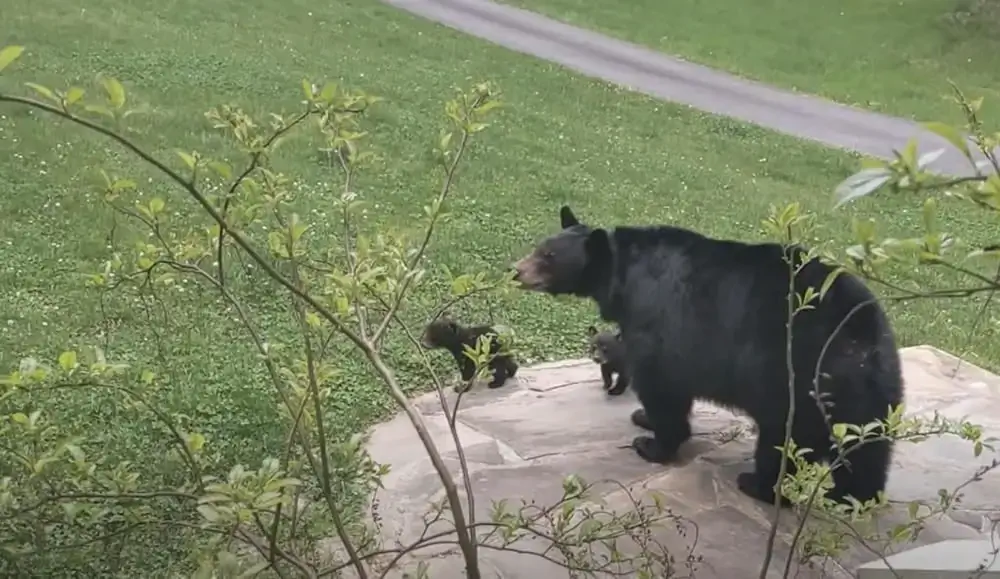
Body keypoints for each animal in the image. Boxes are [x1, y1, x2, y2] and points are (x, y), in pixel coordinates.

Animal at [516, 206, 908, 506]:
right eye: (539, 246)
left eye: (548, 257)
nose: (516, 270)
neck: (622, 275)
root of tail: (861, 336)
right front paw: (643, 418)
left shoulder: (660, 323)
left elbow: (661, 385)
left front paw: (651, 443)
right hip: (871, 397)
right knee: (868, 453)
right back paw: (852, 498)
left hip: (797, 380)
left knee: (784, 443)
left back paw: (758, 484)